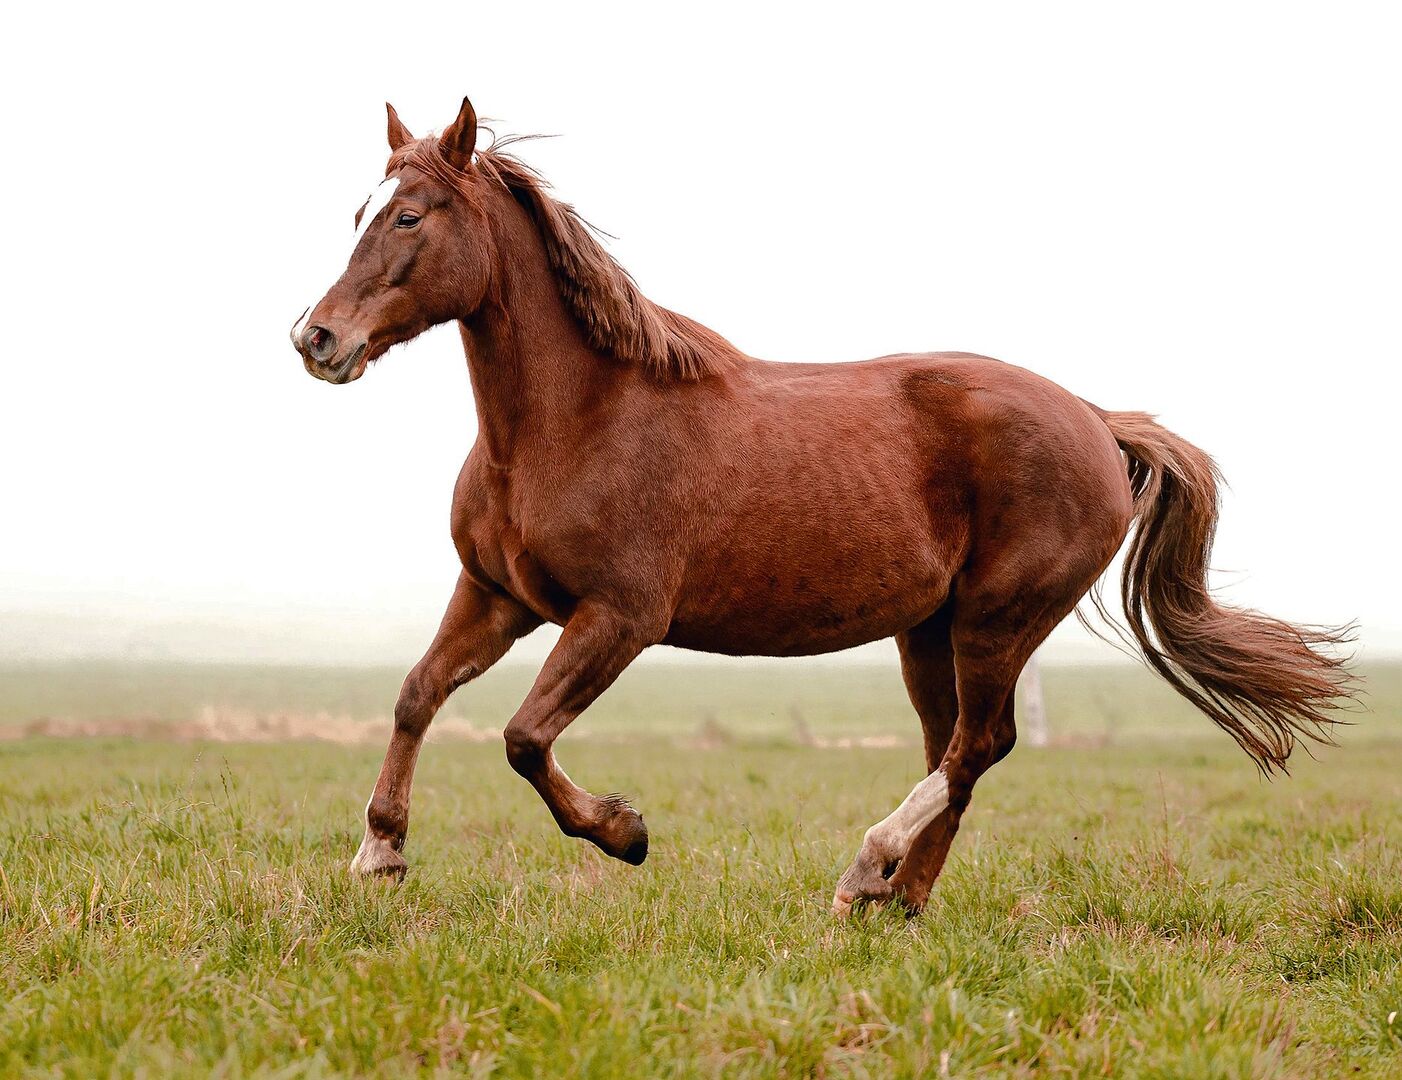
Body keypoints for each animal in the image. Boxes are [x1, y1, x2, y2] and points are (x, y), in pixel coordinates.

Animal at [290, 97, 1354, 916]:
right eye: (361, 209)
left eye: (410, 218)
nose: (316, 338)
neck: (574, 421)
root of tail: (1096, 420)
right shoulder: (497, 597)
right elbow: (416, 694)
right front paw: (379, 853)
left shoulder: (618, 619)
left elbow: (523, 739)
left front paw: (625, 833)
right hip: (930, 633)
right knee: (955, 752)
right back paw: (896, 901)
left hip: (998, 620)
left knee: (978, 747)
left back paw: (865, 870)